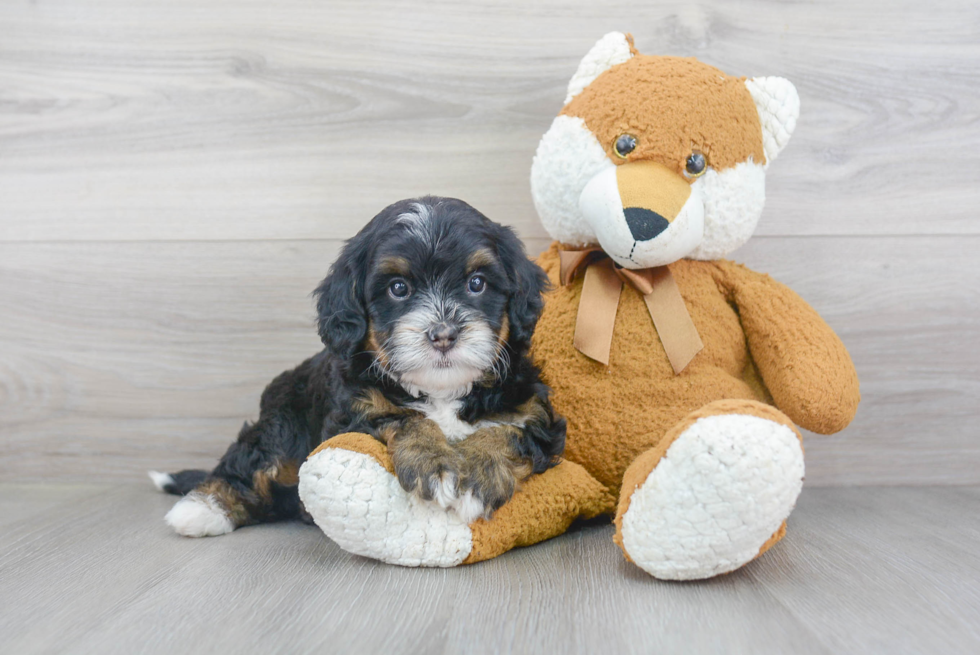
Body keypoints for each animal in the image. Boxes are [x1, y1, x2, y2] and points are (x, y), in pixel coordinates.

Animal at [153, 197, 568, 536]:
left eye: (477, 283)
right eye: (398, 288)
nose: (443, 334)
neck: (440, 391)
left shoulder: (535, 412)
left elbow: (507, 431)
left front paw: (476, 476)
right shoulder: (353, 412)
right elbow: (404, 418)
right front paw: (435, 463)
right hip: (283, 419)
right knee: (250, 462)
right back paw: (202, 510)